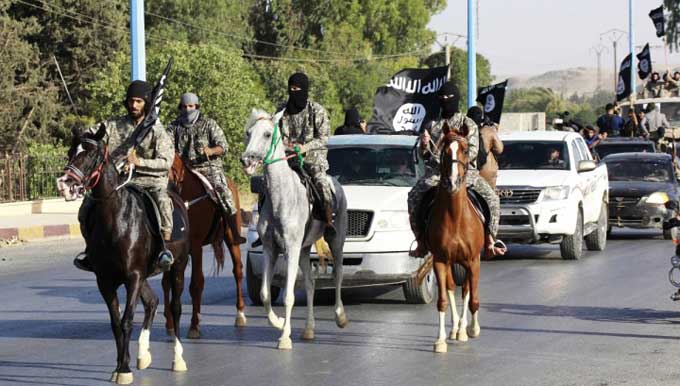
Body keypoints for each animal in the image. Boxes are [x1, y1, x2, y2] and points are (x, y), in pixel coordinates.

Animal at [56, 126, 191, 382]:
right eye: (70, 151)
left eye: (91, 154)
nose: (64, 183)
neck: (115, 219)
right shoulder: (106, 280)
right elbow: (116, 323)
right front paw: (120, 366)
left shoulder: (133, 277)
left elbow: (127, 321)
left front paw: (125, 370)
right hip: (145, 275)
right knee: (152, 302)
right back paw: (143, 354)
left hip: (178, 265)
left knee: (175, 308)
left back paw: (178, 359)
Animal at [165, 154, 247, 338]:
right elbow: (167, 283)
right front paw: (170, 324)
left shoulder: (195, 247)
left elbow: (196, 283)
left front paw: (194, 326)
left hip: (231, 239)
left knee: (237, 271)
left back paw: (240, 314)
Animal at [239, 108, 348, 350]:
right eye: (248, 133)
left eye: (267, 134)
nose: (246, 159)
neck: (281, 197)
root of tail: (336, 183)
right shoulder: (271, 250)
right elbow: (264, 294)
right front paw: (278, 322)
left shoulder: (291, 249)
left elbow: (288, 296)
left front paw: (284, 337)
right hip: (304, 251)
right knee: (310, 283)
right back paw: (308, 329)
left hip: (335, 243)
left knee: (337, 275)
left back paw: (340, 316)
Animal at [428, 126, 486, 352]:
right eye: (444, 152)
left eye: (465, 150)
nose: (453, 182)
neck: (455, 218)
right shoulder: (439, 260)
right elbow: (443, 299)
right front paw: (440, 340)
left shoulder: (473, 260)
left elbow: (473, 299)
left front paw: (472, 329)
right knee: (453, 288)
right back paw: (454, 329)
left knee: (467, 290)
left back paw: (463, 329)